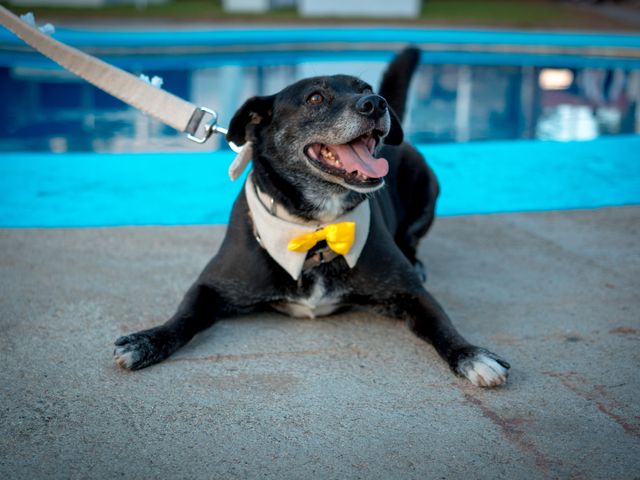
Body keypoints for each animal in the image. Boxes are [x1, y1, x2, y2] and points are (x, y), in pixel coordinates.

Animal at [114, 47, 510, 386]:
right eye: (315, 99)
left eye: (365, 90)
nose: (376, 103)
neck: (317, 227)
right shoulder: (210, 286)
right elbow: (184, 317)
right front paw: (147, 341)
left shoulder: (411, 293)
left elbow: (440, 324)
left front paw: (471, 355)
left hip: (427, 191)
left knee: (413, 238)